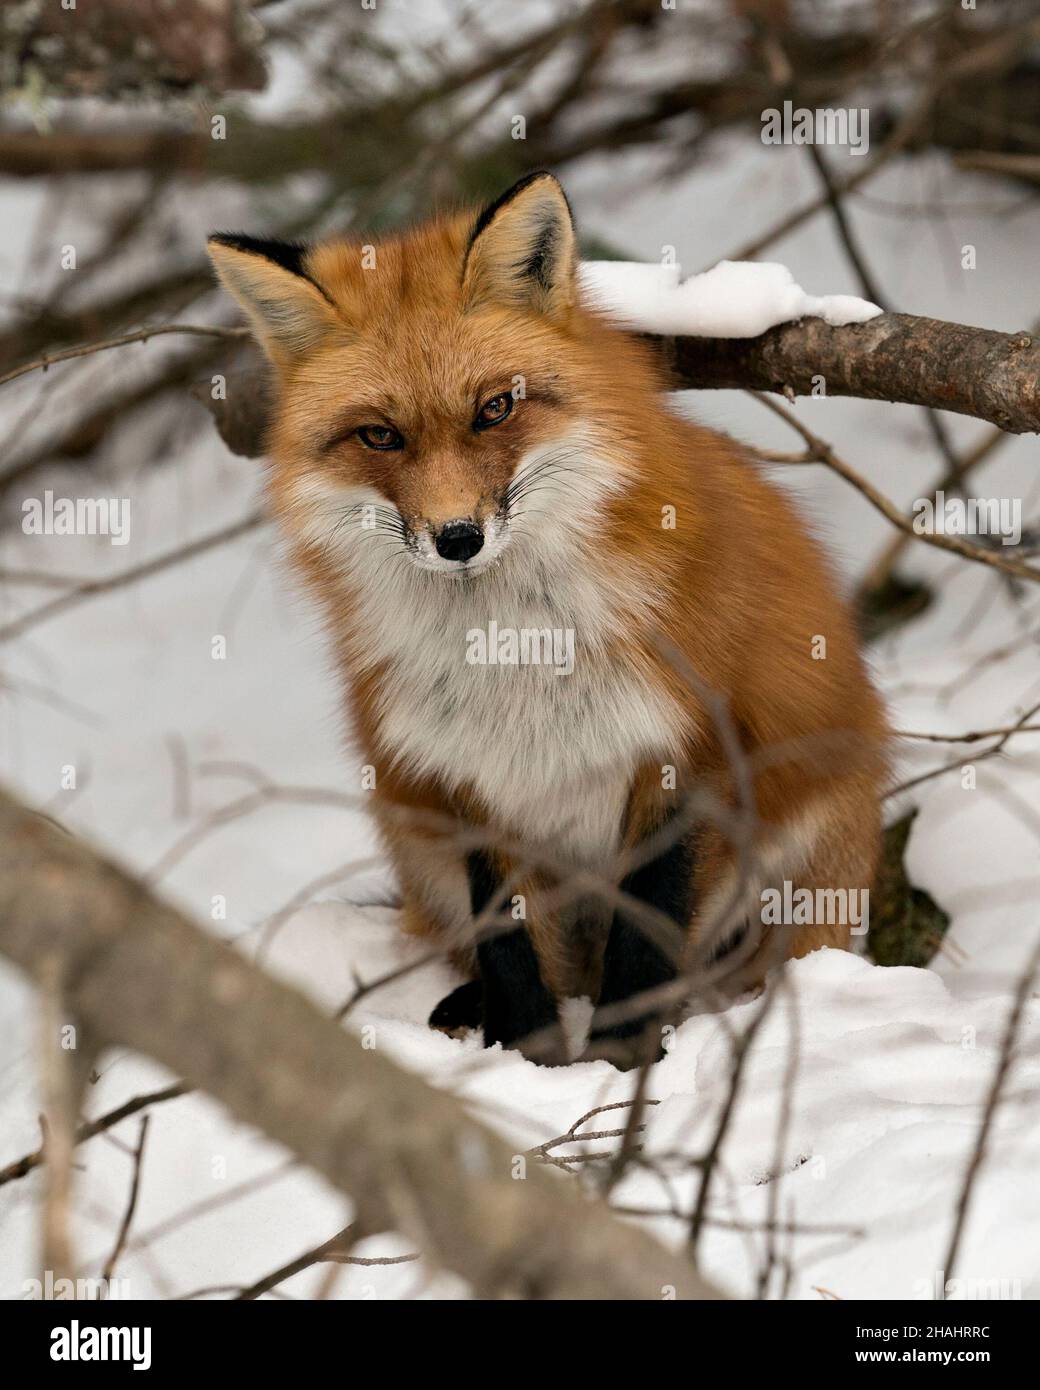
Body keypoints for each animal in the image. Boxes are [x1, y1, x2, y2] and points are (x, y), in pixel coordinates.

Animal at [207, 171, 888, 1069]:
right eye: (379, 436)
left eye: (495, 409)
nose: (457, 538)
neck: (516, 648)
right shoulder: (468, 776)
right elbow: (507, 942)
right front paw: (527, 1059)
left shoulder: (685, 750)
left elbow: (645, 936)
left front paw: (624, 1063)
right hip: (411, 828)